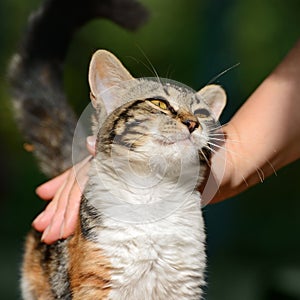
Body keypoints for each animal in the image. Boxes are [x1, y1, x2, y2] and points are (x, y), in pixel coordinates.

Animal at [8, 0, 225, 298]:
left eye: (202, 113)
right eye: (159, 104)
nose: (193, 123)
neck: (152, 196)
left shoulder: (185, 285)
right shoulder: (97, 285)